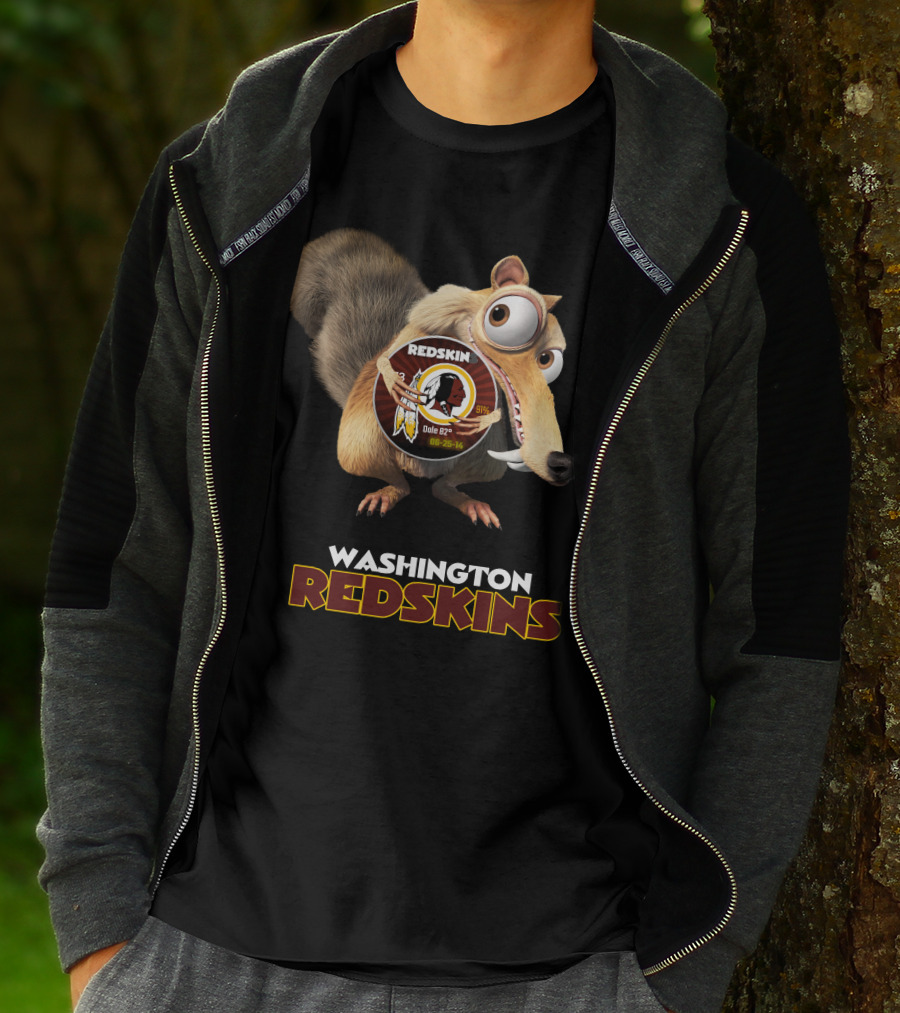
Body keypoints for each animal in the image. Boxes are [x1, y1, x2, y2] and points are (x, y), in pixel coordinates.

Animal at [290, 228, 572, 528]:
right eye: (500, 314)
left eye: (547, 360)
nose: (559, 462)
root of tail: (419, 469)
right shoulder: (424, 323)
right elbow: (387, 355)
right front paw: (393, 379)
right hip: (361, 446)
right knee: (394, 479)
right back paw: (391, 490)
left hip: (486, 459)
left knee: (444, 485)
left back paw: (464, 499)